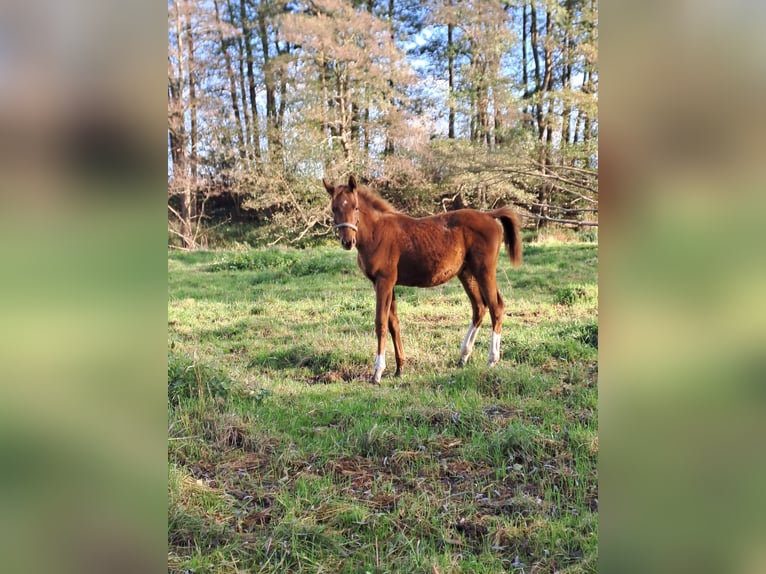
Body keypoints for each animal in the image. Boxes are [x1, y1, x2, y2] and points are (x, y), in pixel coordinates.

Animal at [324, 174, 520, 382]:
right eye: (334, 208)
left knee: (495, 307)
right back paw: (463, 357)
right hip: (466, 273)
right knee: (479, 308)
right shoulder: (387, 284)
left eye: (355, 207)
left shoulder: (383, 281)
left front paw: (377, 372)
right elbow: (394, 323)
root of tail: (489, 215)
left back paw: (492, 359)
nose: (347, 241)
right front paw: (399, 368)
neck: (377, 232)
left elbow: (381, 323)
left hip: (484, 271)